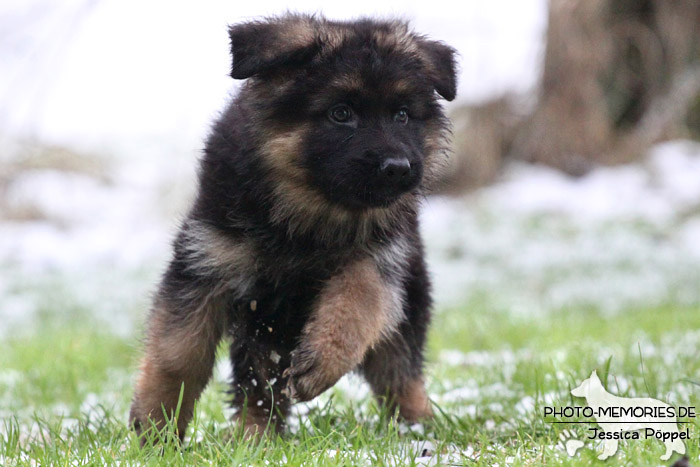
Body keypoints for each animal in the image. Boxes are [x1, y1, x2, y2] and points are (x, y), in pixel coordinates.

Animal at [130, 12, 460, 440]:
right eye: (341, 113)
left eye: (402, 115)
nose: (398, 168)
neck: (307, 220)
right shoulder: (206, 261)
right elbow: (177, 354)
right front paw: (154, 429)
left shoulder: (381, 257)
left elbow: (358, 301)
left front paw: (322, 361)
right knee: (259, 385)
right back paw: (254, 437)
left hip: (408, 288)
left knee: (399, 370)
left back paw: (419, 427)